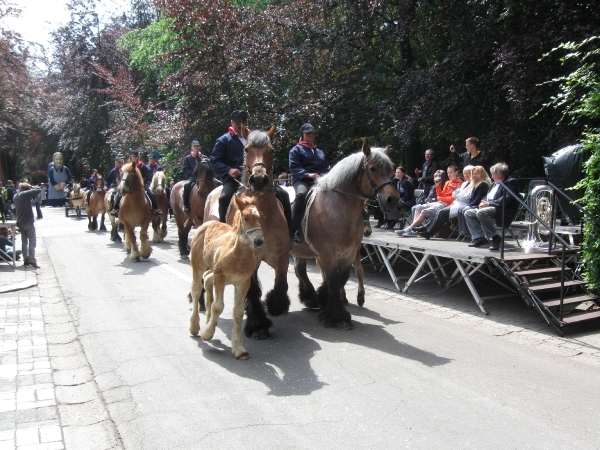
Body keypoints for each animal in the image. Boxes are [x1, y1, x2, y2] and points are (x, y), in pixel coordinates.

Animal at [188, 195, 262, 360]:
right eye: (245, 217)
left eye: (260, 217)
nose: (259, 241)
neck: (238, 256)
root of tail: (206, 223)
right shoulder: (221, 278)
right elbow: (218, 306)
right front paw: (207, 334)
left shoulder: (243, 282)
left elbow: (238, 311)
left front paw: (239, 349)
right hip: (198, 264)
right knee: (196, 289)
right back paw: (195, 326)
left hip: (213, 269)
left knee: (207, 279)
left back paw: (209, 319)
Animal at [205, 126, 292, 338]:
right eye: (246, 150)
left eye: (272, 150)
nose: (259, 180)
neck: (262, 216)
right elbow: (252, 290)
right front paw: (258, 324)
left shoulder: (281, 256)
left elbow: (281, 284)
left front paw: (274, 304)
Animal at [290, 142, 398, 328]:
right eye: (373, 168)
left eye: (391, 170)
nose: (392, 199)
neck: (337, 207)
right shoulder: (328, 253)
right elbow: (333, 281)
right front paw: (337, 317)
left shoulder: (349, 253)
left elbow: (342, 278)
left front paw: (328, 304)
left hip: (301, 250)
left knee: (300, 270)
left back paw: (310, 298)